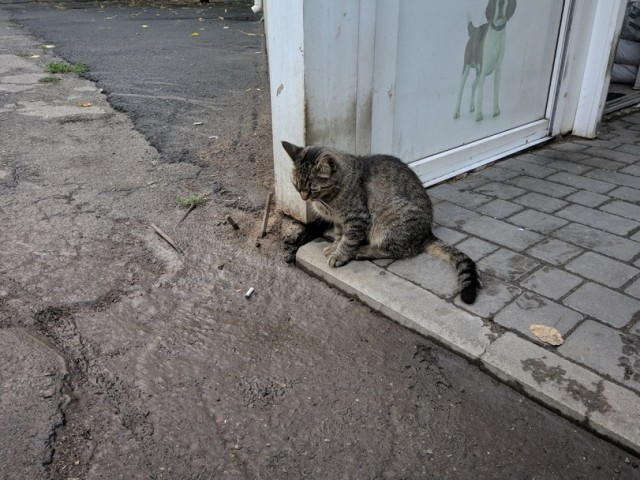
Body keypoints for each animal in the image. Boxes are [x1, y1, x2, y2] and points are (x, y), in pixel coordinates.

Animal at [282, 141, 480, 304]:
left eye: (312, 189)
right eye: (296, 186)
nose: (303, 198)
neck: (330, 199)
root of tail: (426, 234)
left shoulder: (357, 219)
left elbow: (347, 240)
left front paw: (339, 255)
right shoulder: (339, 221)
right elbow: (339, 236)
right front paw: (334, 247)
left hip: (389, 219)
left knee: (401, 251)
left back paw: (362, 251)